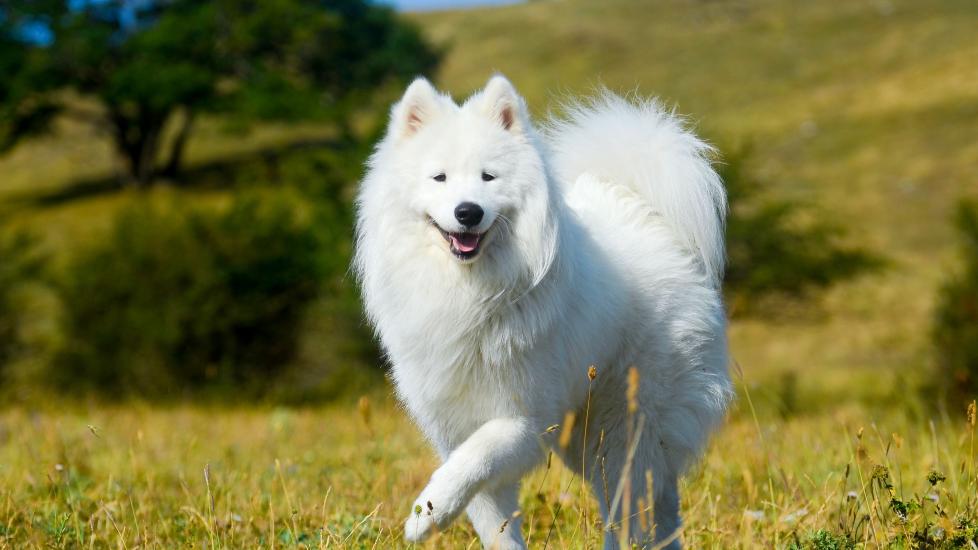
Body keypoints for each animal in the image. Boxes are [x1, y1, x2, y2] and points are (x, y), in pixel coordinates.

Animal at [354, 74, 728, 550]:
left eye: (488, 176)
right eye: (439, 177)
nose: (468, 212)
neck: (470, 293)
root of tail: (647, 215)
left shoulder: (524, 418)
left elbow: (472, 460)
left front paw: (426, 514)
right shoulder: (454, 423)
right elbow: (490, 516)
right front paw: (439, 514)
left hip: (624, 427)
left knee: (634, 505)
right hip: (590, 439)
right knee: (651, 507)